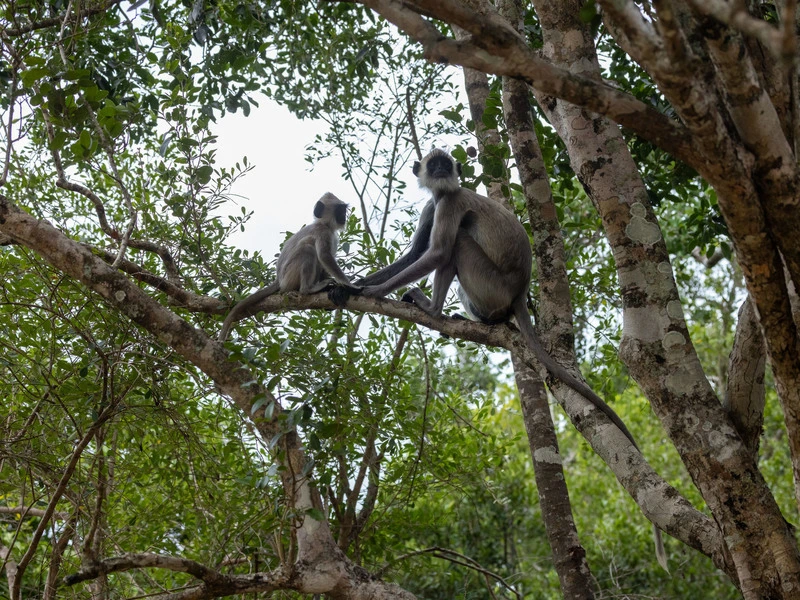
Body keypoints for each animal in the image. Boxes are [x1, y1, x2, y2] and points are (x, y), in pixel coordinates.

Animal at [219, 192, 357, 342]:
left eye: (343, 210)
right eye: (339, 210)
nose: (344, 217)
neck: (323, 224)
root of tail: (279, 280)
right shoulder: (322, 232)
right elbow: (325, 256)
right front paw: (351, 286)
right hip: (290, 275)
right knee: (307, 248)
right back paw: (307, 289)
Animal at [361, 148, 667, 570]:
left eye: (445, 164)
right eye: (434, 164)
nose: (439, 171)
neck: (445, 193)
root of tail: (521, 290)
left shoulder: (449, 203)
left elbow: (435, 253)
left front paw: (361, 290)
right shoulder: (434, 204)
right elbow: (413, 254)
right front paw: (348, 283)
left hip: (488, 283)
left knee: (457, 245)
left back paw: (436, 311)